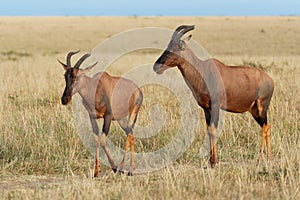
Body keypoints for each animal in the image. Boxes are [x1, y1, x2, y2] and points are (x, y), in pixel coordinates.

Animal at [155, 24, 274, 167]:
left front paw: (214, 161)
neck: (203, 70)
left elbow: (213, 130)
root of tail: (270, 80)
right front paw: (210, 160)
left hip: (262, 107)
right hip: (254, 110)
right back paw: (266, 158)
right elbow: (209, 130)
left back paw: (263, 158)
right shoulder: (207, 108)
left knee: (266, 126)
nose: (156, 67)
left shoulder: (216, 105)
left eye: (174, 49)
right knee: (266, 126)